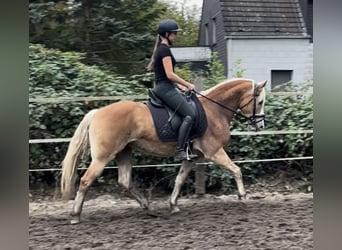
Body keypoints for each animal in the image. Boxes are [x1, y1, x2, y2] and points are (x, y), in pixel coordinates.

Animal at [60, 77, 268, 223]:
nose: (260, 125)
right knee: (86, 181)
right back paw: (75, 215)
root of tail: (97, 112)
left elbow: (179, 180)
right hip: (103, 157)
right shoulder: (214, 152)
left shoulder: (192, 157)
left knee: (125, 181)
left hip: (123, 152)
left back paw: (147, 207)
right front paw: (243, 197)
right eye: (260, 102)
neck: (214, 110)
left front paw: (173, 205)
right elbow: (236, 170)